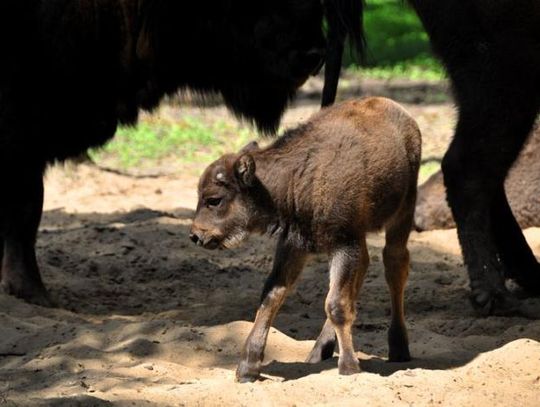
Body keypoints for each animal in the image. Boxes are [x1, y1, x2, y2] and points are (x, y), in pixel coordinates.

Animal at [190, 98, 422, 382]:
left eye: (214, 199)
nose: (196, 235)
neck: (293, 180)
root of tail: (398, 110)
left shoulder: (344, 244)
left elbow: (336, 304)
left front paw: (349, 367)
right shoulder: (294, 246)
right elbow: (272, 296)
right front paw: (247, 368)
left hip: (402, 213)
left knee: (394, 266)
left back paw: (398, 348)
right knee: (365, 267)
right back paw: (318, 352)